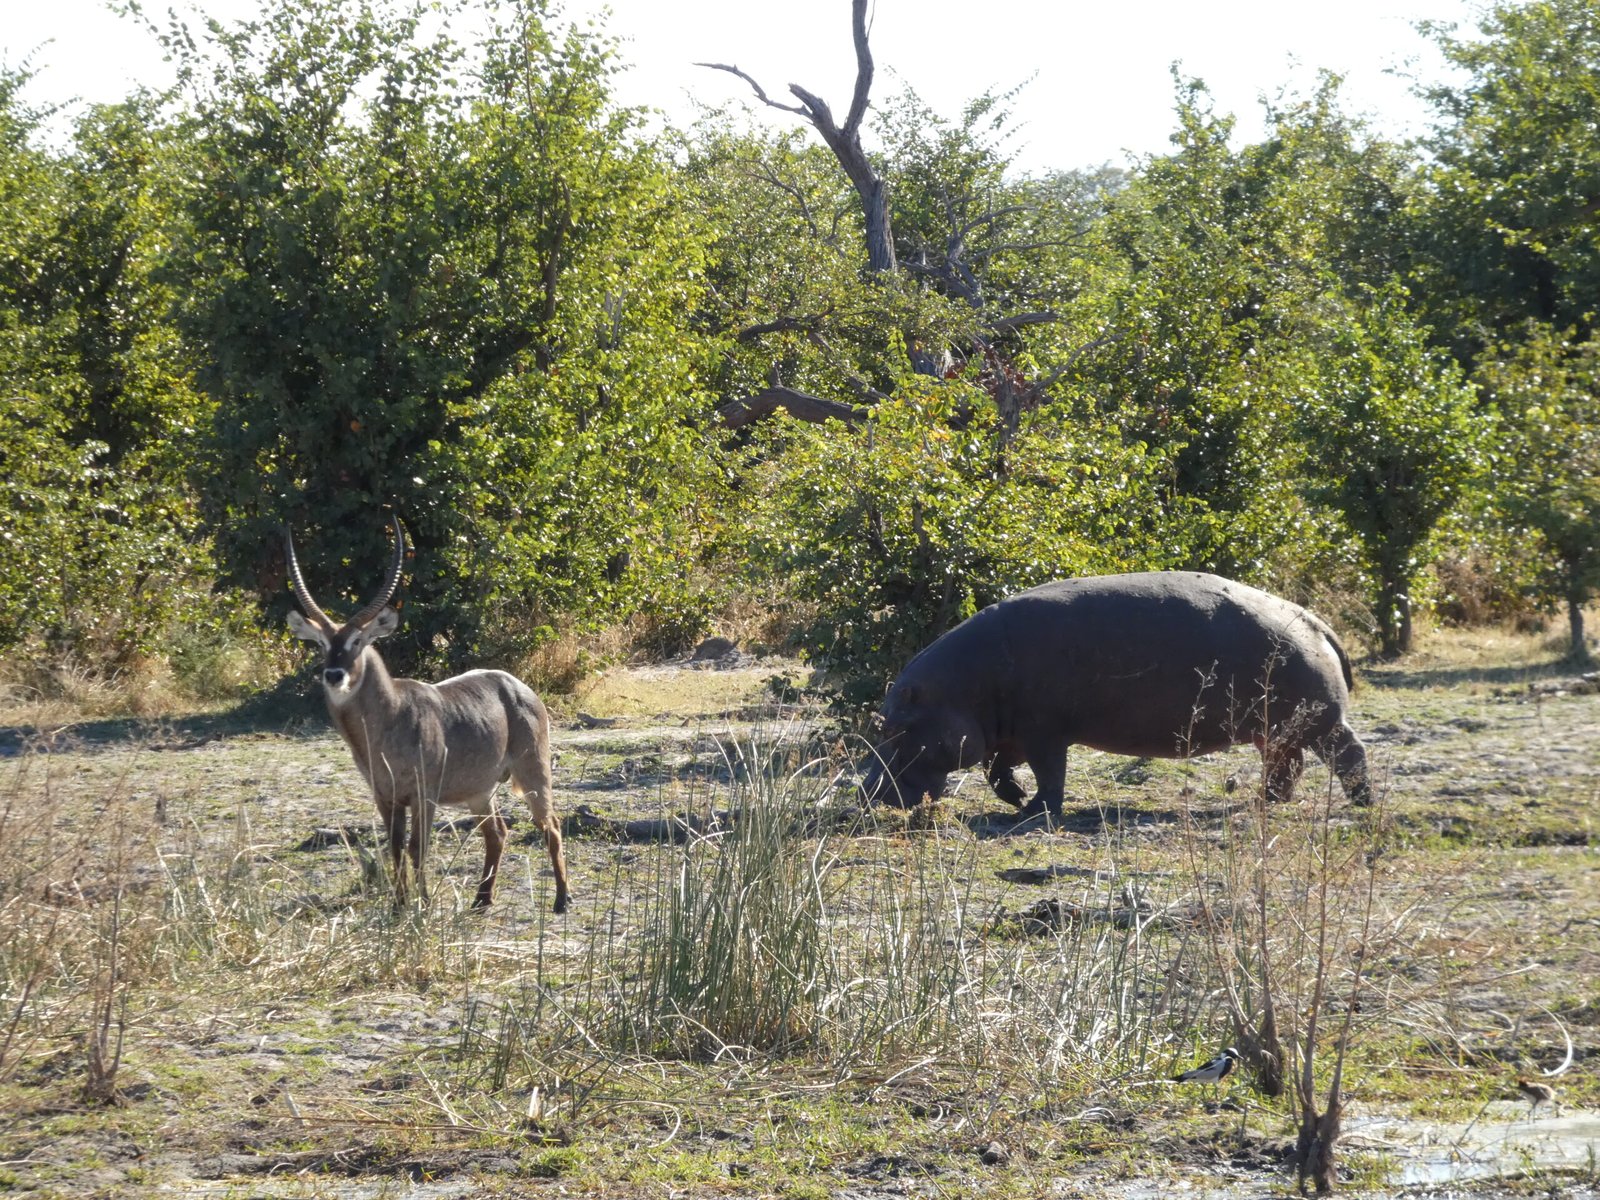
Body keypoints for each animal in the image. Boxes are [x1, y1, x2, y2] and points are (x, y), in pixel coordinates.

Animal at [284, 516, 569, 913]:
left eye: (358, 641)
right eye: (322, 643)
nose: (334, 675)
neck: (386, 720)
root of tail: (517, 686)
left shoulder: (424, 794)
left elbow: (418, 847)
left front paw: (421, 905)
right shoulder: (385, 797)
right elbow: (394, 849)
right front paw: (400, 905)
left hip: (533, 774)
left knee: (551, 825)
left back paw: (561, 899)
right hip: (480, 791)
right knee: (497, 832)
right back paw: (481, 901)